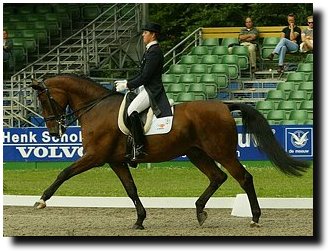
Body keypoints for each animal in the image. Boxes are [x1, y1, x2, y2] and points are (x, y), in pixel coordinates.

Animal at [30, 74, 310, 229]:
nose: (53, 132)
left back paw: (254, 218)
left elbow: (64, 173)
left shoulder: (95, 157)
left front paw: (41, 200)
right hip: (197, 153)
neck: (96, 108)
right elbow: (131, 189)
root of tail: (224, 105)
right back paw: (200, 212)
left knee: (244, 178)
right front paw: (140, 220)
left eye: (44, 100)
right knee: (217, 177)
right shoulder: (115, 161)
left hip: (222, 152)